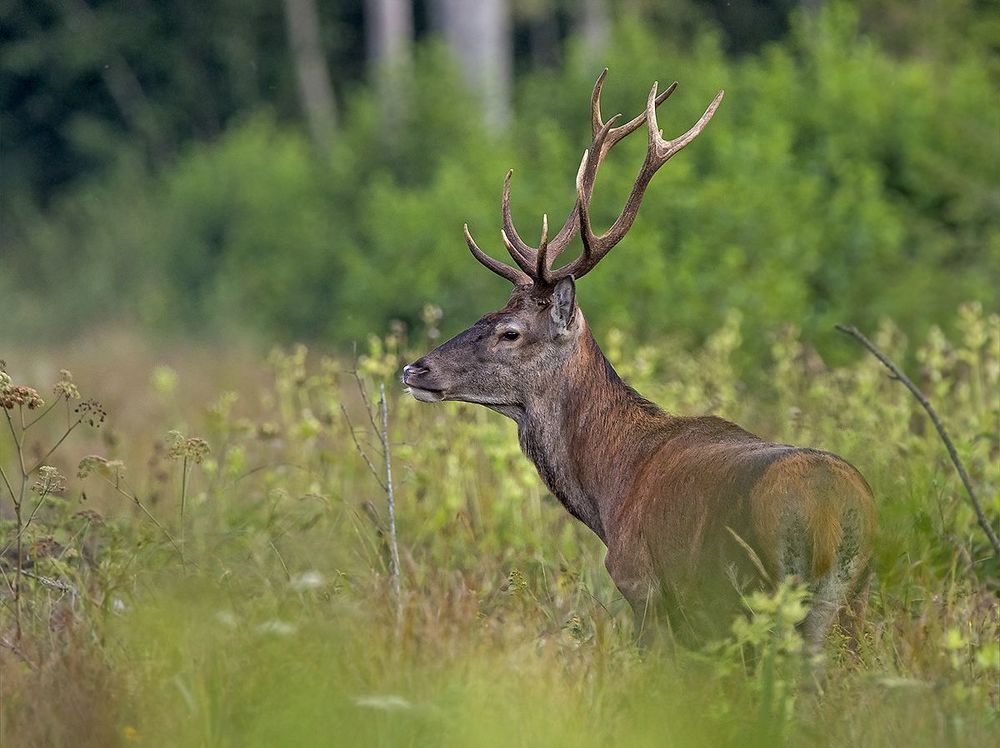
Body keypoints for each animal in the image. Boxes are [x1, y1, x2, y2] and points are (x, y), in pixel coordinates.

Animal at [402, 70, 876, 652]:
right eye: (485, 315)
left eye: (510, 332)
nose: (416, 369)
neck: (609, 488)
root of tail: (832, 512)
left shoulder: (642, 584)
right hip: (853, 595)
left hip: (766, 587)